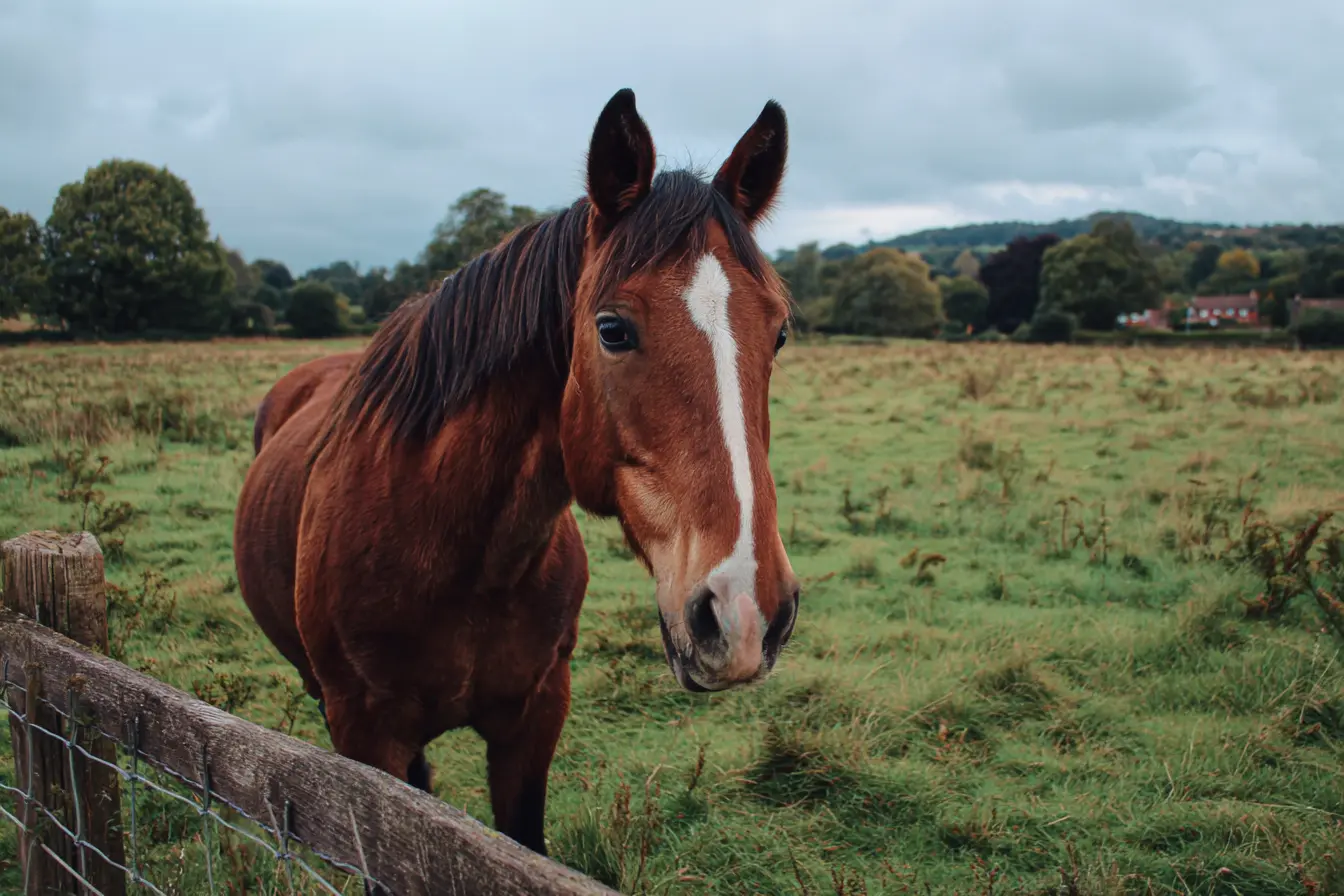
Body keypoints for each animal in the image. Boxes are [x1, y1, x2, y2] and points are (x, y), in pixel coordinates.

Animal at [232, 88, 801, 856]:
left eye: (779, 332)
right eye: (612, 329)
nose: (745, 612)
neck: (462, 558)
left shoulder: (537, 714)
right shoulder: (361, 732)